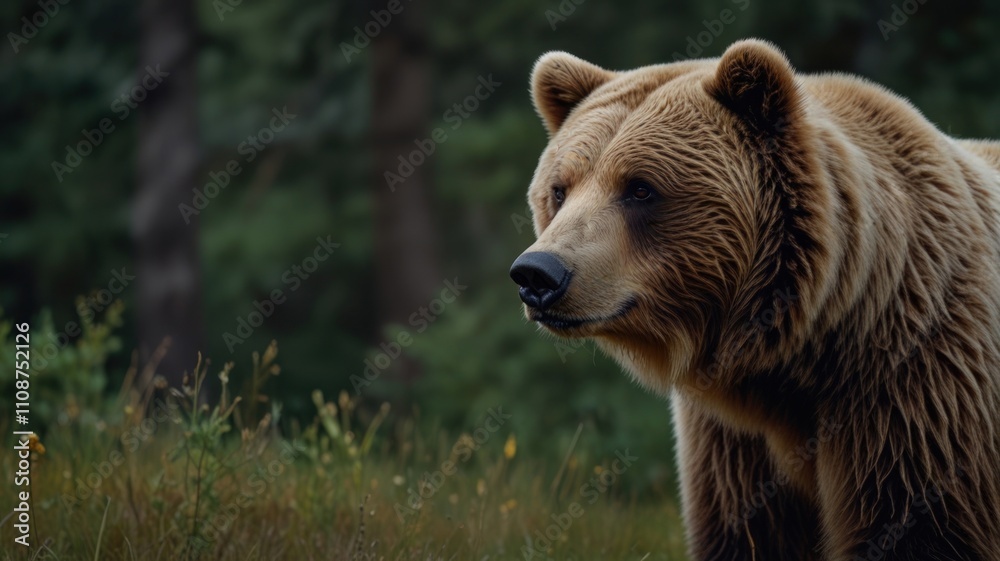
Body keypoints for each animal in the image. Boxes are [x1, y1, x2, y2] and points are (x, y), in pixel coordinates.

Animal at [509, 39, 1000, 561]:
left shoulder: (914, 388)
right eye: (560, 189)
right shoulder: (735, 441)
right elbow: (751, 531)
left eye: (640, 187)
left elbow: (918, 527)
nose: (538, 273)